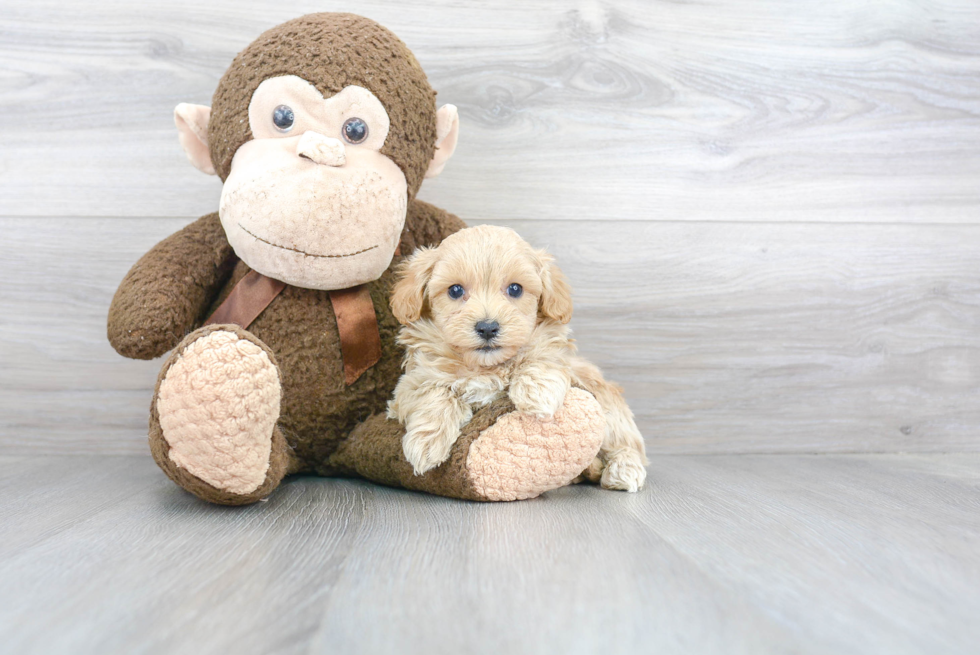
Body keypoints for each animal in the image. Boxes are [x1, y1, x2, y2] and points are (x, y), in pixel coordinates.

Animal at [386, 226, 648, 492]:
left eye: (515, 289)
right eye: (455, 290)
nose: (487, 328)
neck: (485, 367)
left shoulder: (555, 351)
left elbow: (541, 356)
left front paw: (537, 394)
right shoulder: (410, 384)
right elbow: (433, 392)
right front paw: (427, 443)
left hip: (608, 405)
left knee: (626, 443)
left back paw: (623, 469)